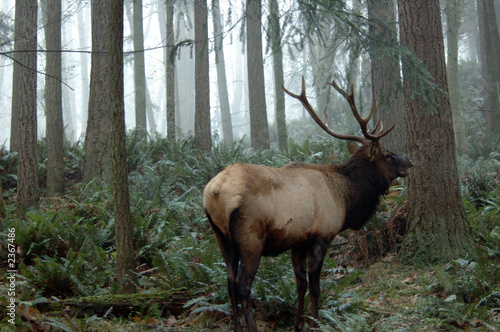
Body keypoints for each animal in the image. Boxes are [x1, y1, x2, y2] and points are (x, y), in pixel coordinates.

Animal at [201, 76, 412, 330]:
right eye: (387, 155)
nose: (409, 162)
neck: (346, 198)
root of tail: (214, 190)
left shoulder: (297, 241)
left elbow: (300, 283)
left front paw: (298, 324)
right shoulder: (321, 235)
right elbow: (315, 286)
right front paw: (315, 322)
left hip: (221, 236)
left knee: (229, 281)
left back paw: (237, 327)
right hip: (250, 237)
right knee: (242, 284)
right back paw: (251, 327)